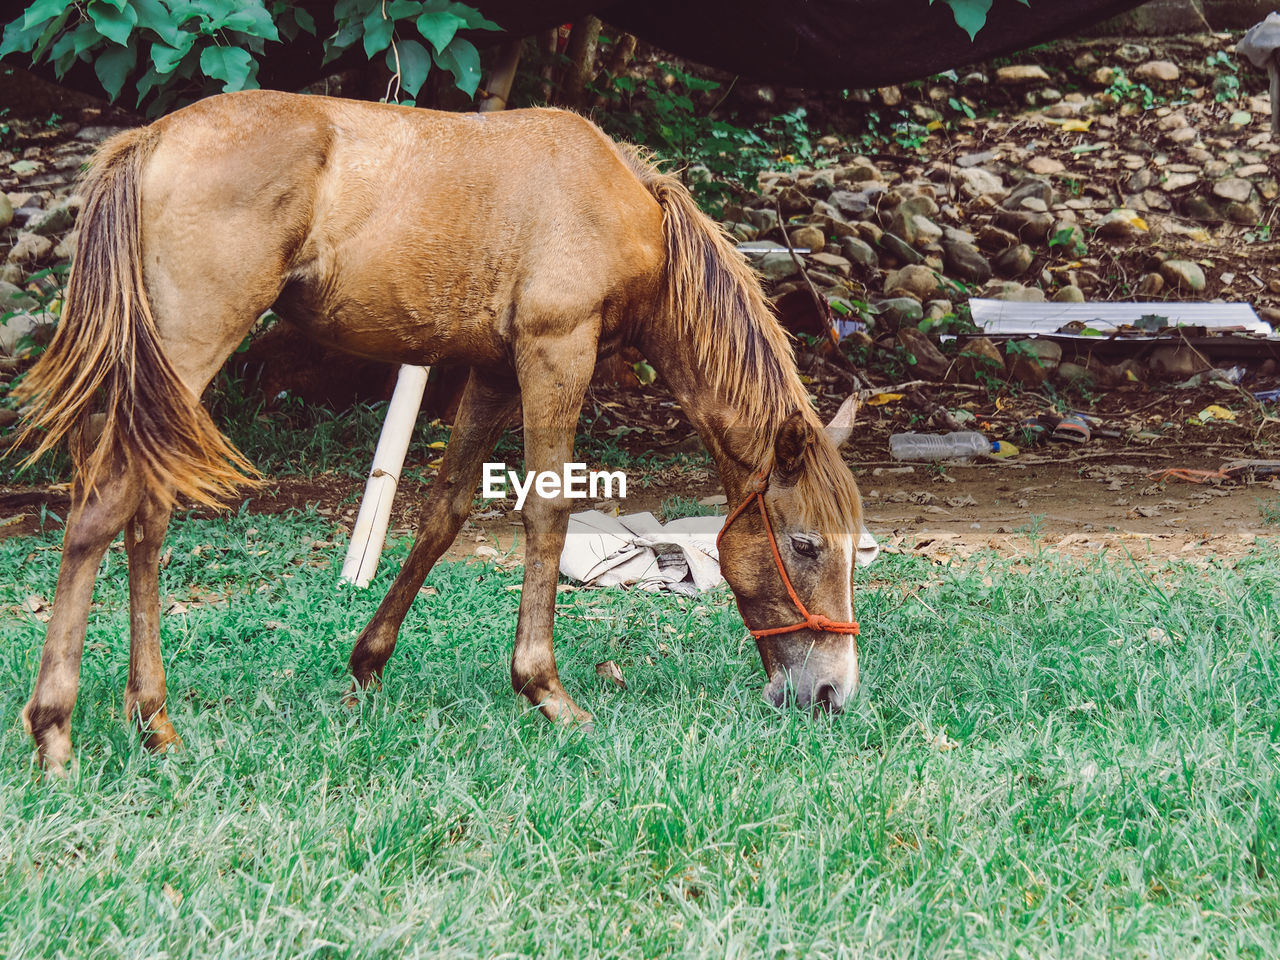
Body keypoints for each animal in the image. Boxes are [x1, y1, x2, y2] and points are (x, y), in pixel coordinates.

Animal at [15, 90, 865, 778]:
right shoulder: (556, 353)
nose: (833, 692)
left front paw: (367, 665)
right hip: (187, 354)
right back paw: (55, 731)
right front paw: (546, 691)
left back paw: (155, 722)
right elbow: (547, 511)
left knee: (144, 518)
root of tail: (148, 139)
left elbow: (445, 510)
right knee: (102, 511)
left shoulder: (490, 373)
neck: (626, 210)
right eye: (805, 546)